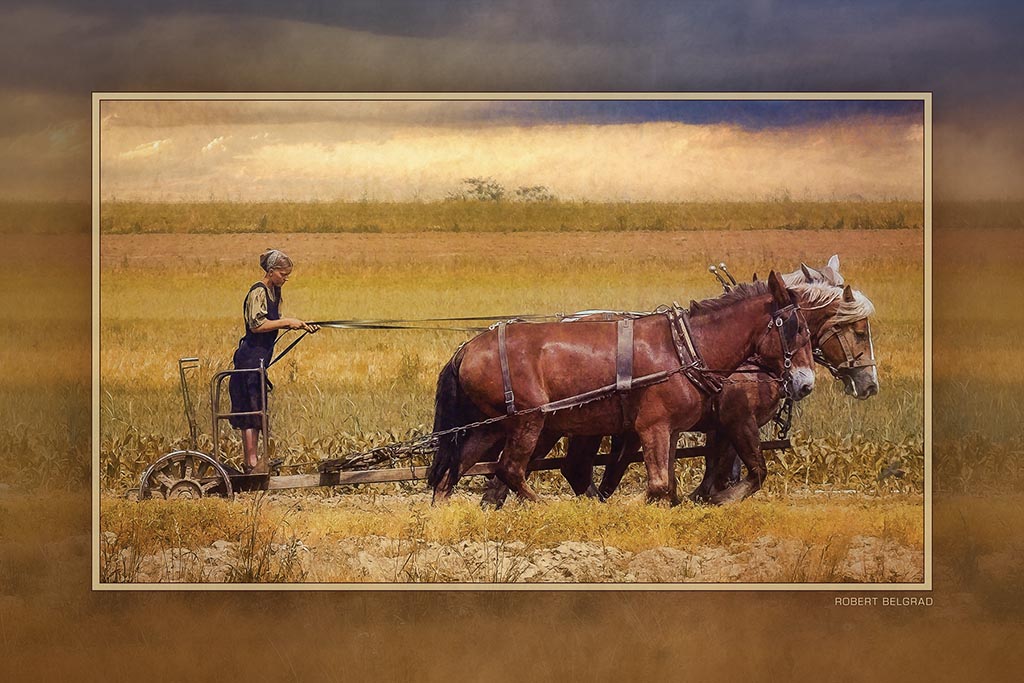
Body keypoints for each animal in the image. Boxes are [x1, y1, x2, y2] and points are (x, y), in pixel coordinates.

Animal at [428, 270, 811, 505]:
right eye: (795, 329)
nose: (805, 383)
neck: (685, 347)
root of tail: (467, 348)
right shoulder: (655, 425)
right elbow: (659, 485)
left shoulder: (673, 430)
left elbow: (670, 484)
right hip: (530, 420)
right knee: (509, 468)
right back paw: (549, 505)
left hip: (494, 425)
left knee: (455, 468)